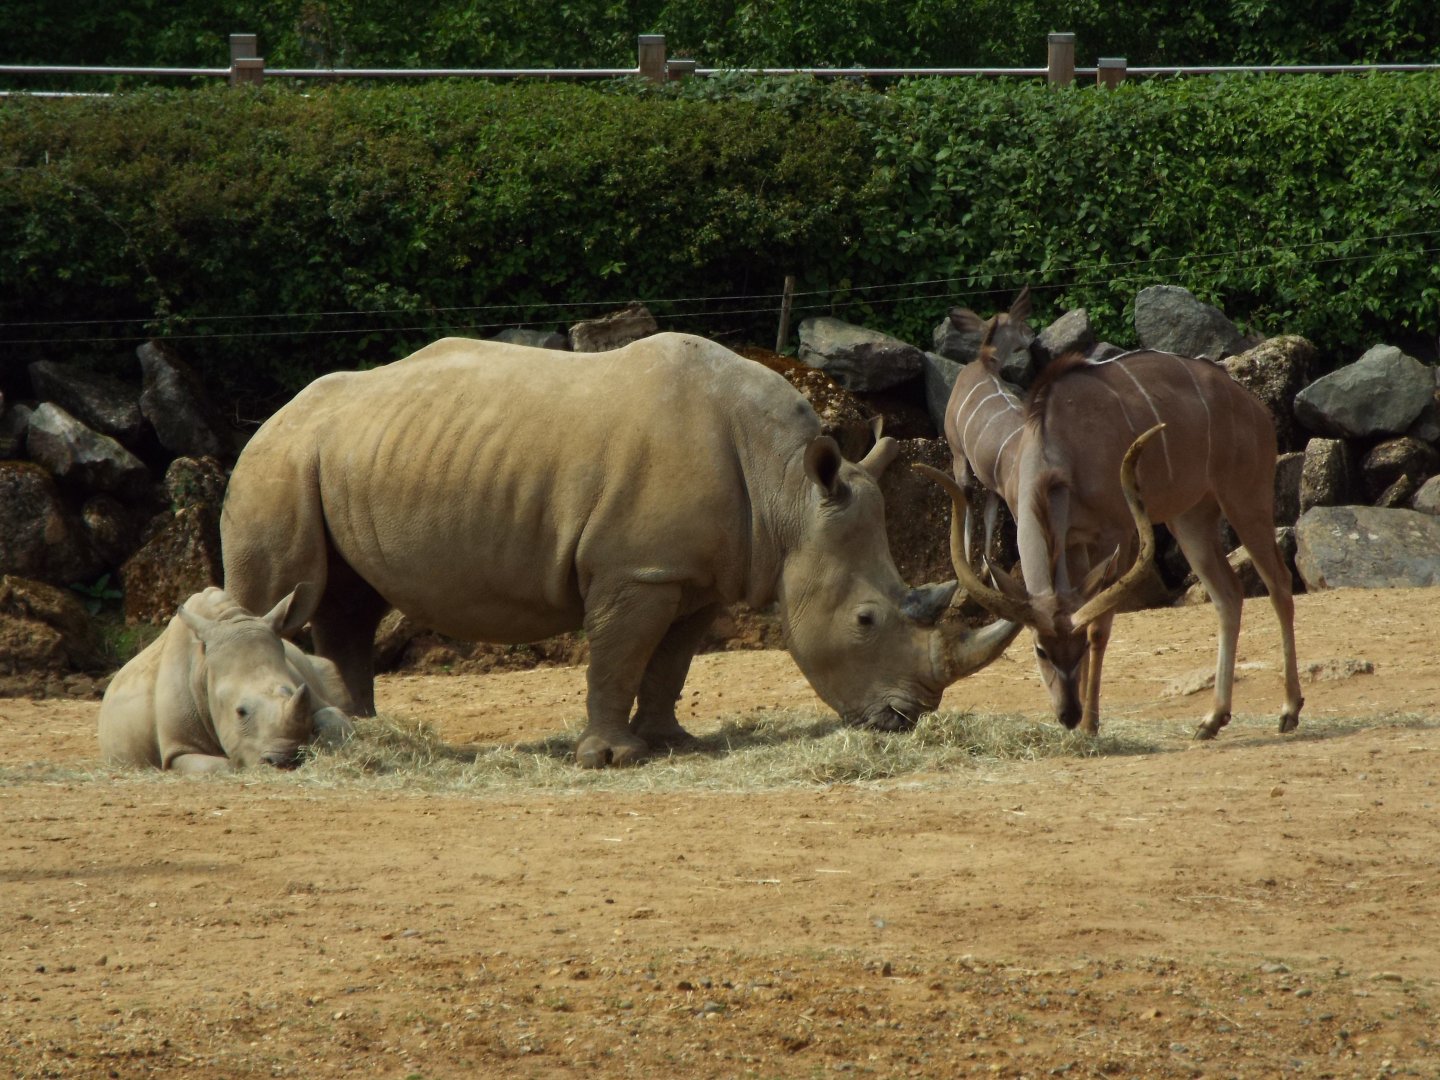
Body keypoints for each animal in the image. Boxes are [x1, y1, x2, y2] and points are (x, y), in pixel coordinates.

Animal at [98, 585, 354, 772]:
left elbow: (333, 717)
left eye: (293, 692)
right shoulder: (176, 749)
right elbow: (224, 766)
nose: (285, 760)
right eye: (240, 712)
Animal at [220, 333, 1019, 767]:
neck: (789, 492)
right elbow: (617, 657)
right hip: (277, 462)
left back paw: (362, 735)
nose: (906, 719)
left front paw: (674, 744)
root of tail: (273, 415)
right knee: (279, 597)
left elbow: (670, 664)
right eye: (865, 621)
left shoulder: (694, 575)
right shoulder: (635, 569)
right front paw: (611, 757)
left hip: (349, 454)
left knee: (350, 602)